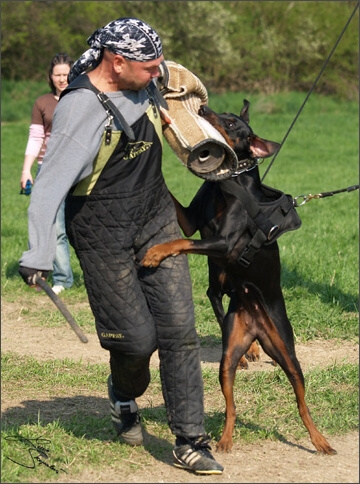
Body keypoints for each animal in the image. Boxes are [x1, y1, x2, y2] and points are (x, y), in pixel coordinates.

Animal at [141, 100, 338, 456]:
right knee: (231, 405)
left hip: (287, 353)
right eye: (224, 113)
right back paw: (225, 439)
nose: (203, 108)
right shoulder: (191, 221)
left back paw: (319, 440)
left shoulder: (224, 242)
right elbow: (181, 219)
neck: (228, 186)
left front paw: (155, 253)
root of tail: (257, 326)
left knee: (302, 402)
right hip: (229, 356)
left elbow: (181, 243)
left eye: (233, 124)